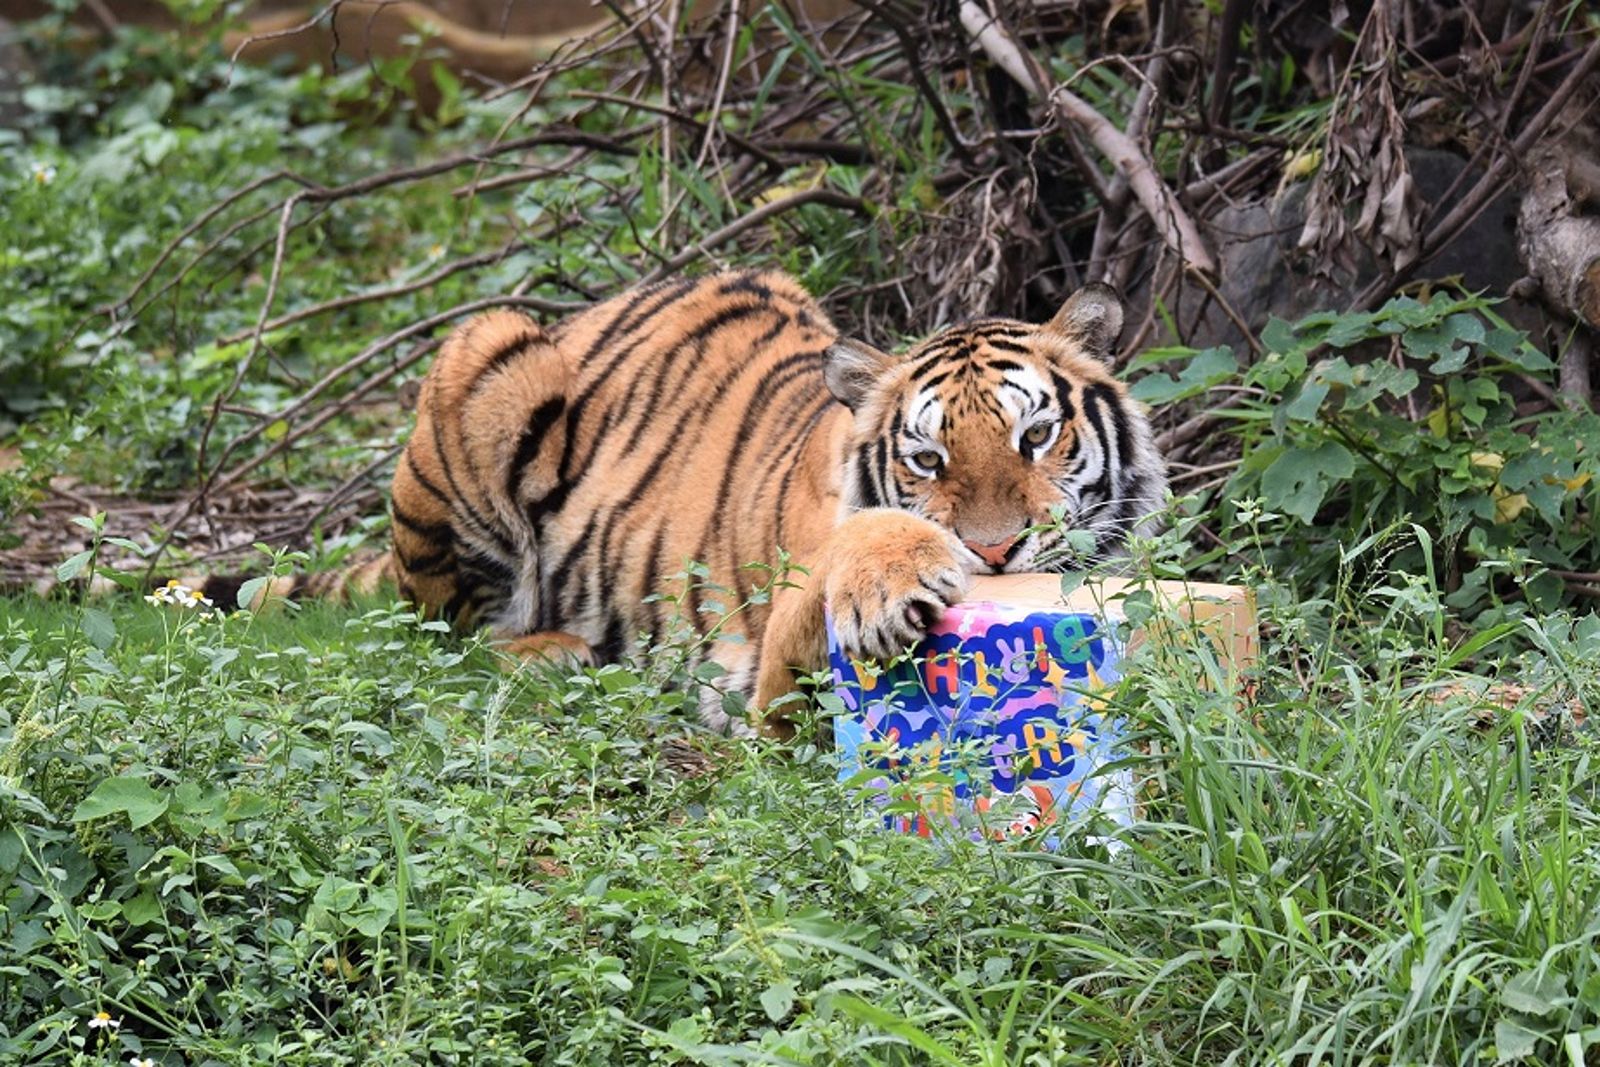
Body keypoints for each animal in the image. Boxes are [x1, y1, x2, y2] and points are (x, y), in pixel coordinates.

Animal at [242, 269, 1168, 735]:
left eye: (1035, 436)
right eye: (927, 460)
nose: (996, 551)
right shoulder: (770, 675)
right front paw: (890, 577)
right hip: (490, 351)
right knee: (444, 639)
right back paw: (554, 653)